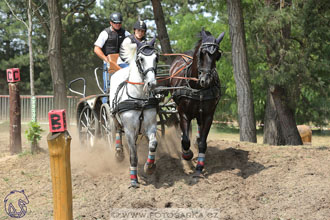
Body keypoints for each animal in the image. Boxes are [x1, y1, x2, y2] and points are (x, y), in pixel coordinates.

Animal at [170, 28, 224, 177]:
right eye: (202, 53)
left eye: (217, 55)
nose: (206, 80)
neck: (197, 88)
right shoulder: (183, 113)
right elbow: (185, 140)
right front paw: (187, 154)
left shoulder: (208, 115)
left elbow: (203, 143)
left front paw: (200, 166)